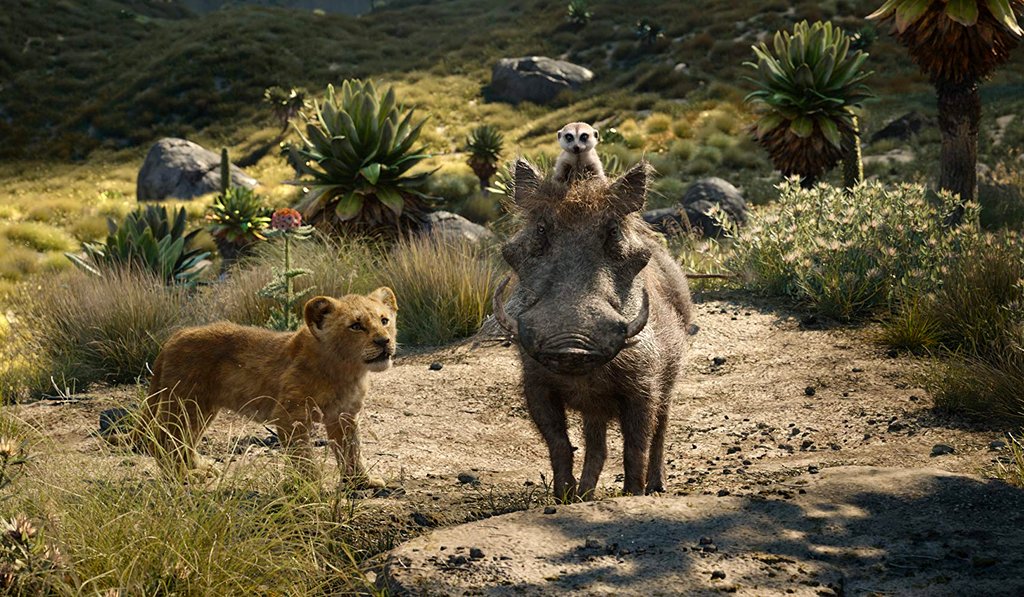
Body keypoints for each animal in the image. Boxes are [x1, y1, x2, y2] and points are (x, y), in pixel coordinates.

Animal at [137, 288, 398, 488]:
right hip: (186, 402)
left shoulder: (344, 416)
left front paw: (361, 482)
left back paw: (201, 467)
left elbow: (351, 450)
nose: (384, 341)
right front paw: (311, 488)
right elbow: (303, 456)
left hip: (202, 408)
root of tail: (174, 337)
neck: (347, 370)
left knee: (185, 440)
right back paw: (186, 476)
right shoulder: (290, 415)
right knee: (164, 439)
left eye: (384, 320)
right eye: (356, 326)